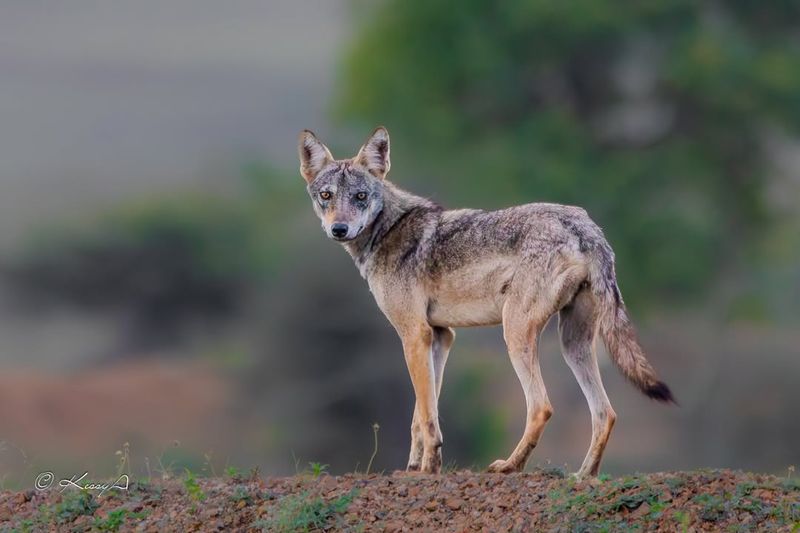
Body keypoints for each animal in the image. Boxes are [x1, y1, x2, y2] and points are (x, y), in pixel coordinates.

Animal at [296, 127, 672, 476]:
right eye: (327, 196)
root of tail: (585, 226)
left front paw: (429, 468)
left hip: (515, 333)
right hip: (573, 345)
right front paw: (416, 467)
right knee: (606, 413)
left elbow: (427, 415)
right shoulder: (440, 336)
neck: (387, 230)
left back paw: (510, 466)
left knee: (542, 407)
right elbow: (421, 412)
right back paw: (583, 476)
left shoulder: (414, 334)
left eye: (360, 196)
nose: (339, 229)